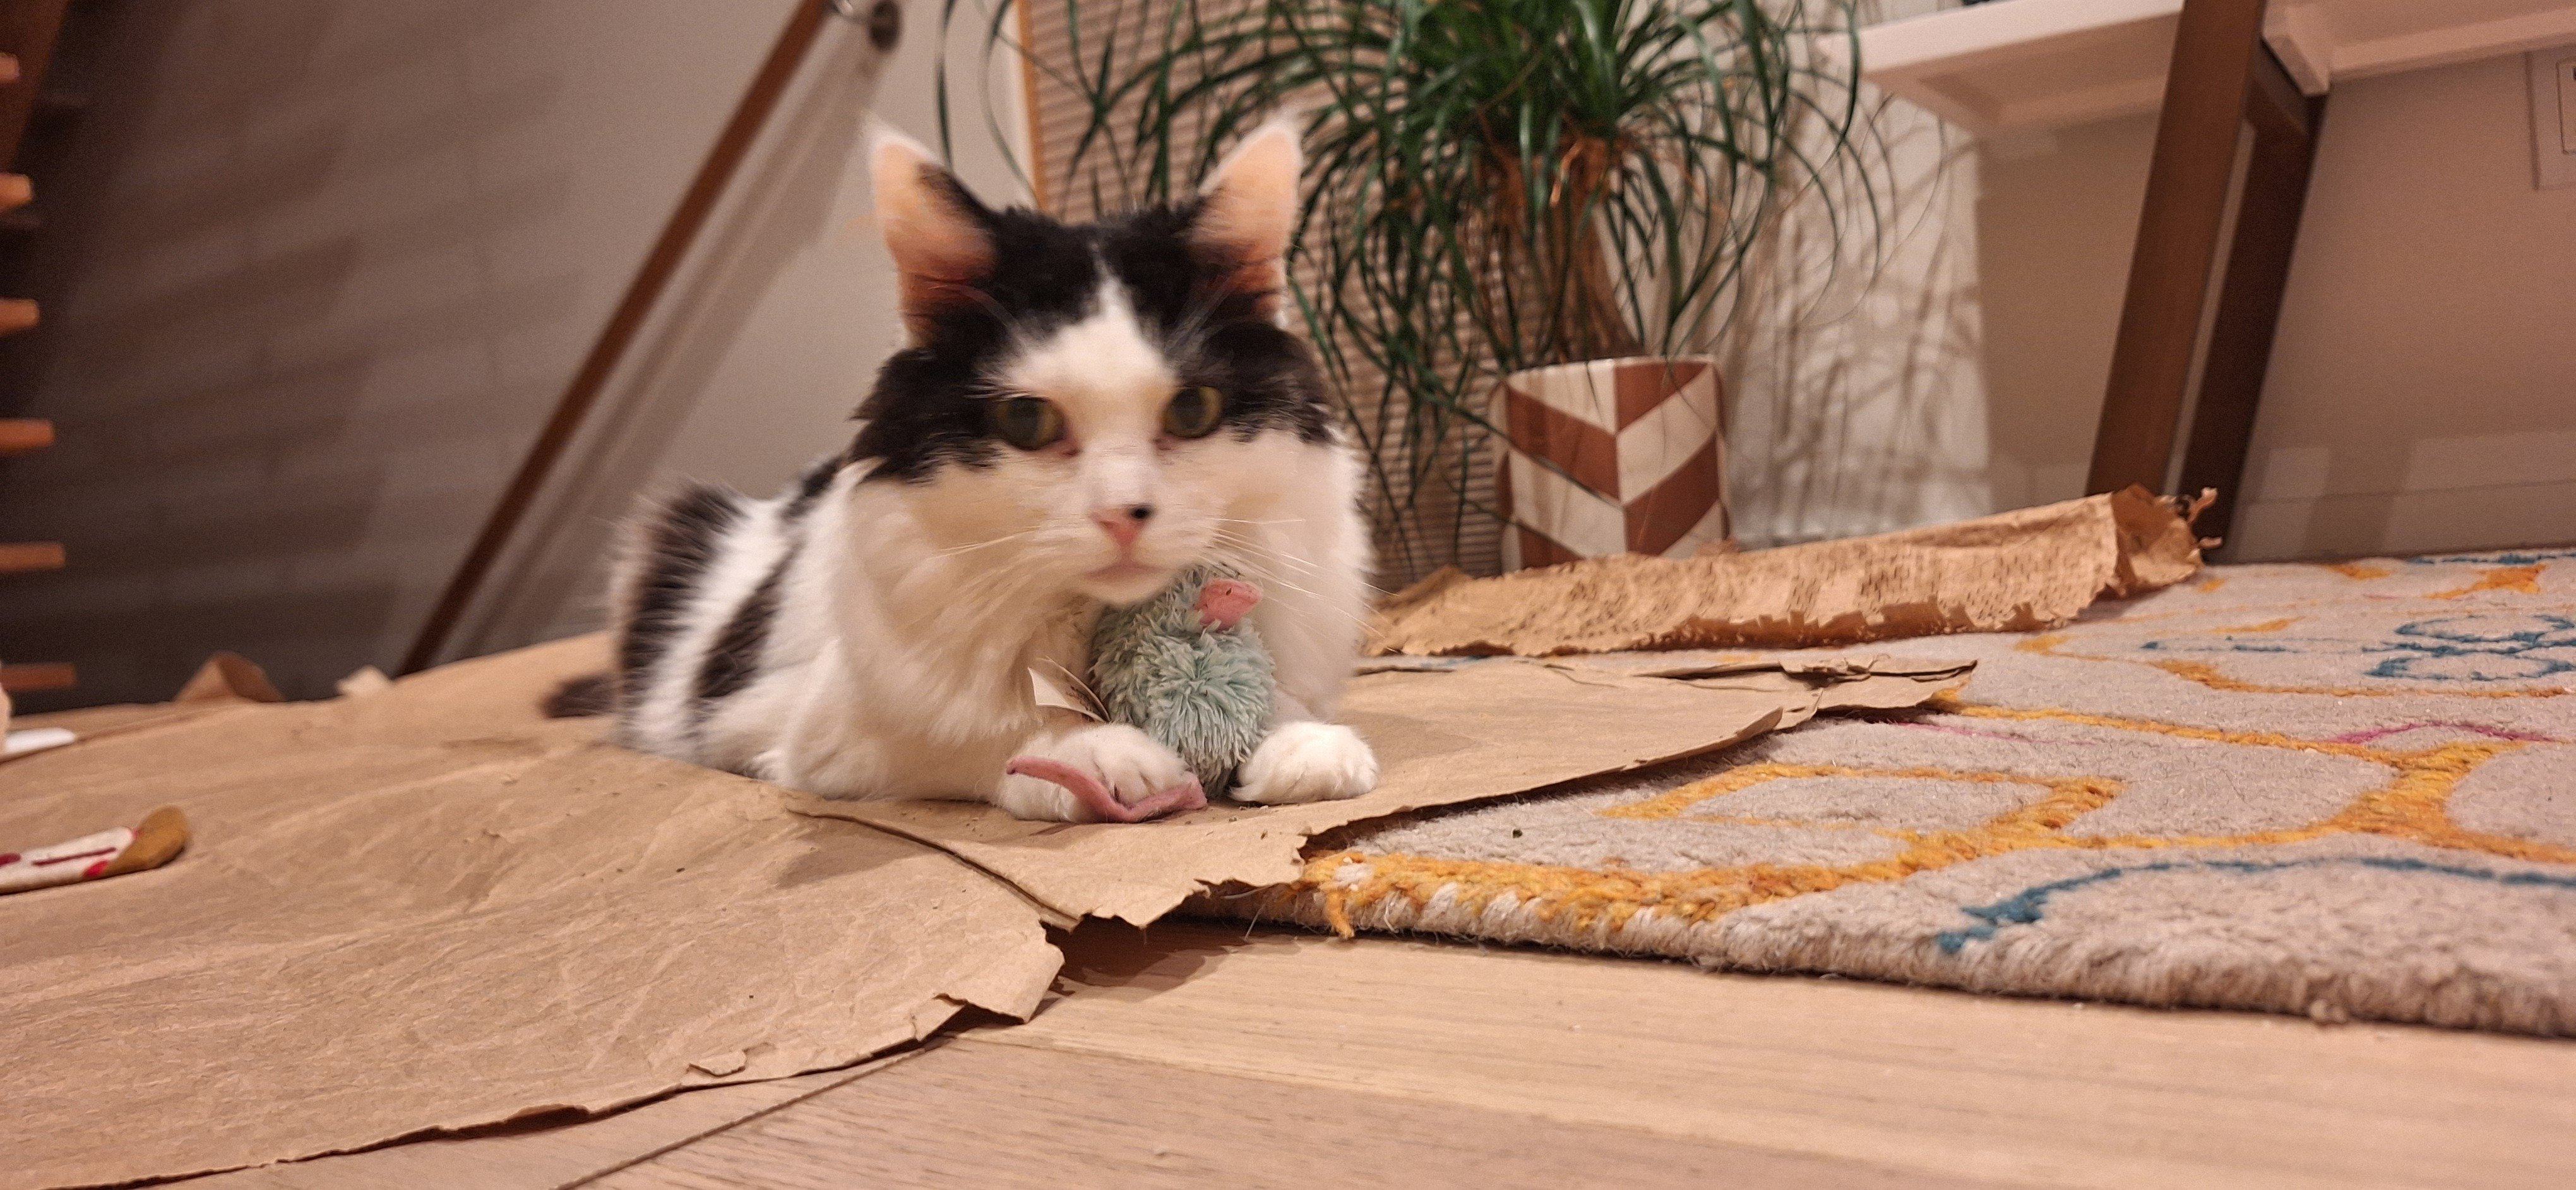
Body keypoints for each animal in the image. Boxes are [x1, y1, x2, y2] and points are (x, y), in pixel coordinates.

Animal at [600, 125, 1380, 824]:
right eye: (1028, 422)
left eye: (1192, 410)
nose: (1123, 514)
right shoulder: (808, 729)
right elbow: (990, 739)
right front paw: (1102, 755)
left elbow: (1276, 689)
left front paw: (1300, 740)